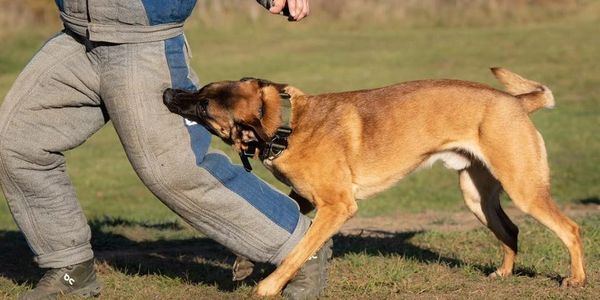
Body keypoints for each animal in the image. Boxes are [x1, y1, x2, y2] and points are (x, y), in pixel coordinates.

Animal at [162, 68, 584, 296]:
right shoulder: (305, 198)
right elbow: (278, 219)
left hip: (524, 189)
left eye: (203, 106)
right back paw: (504, 273)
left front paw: (269, 287)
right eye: (201, 91)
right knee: (511, 231)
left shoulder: (337, 207)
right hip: (476, 196)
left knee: (570, 229)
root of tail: (516, 102)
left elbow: (298, 249)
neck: (286, 124)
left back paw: (576, 279)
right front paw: (245, 264)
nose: (167, 92)